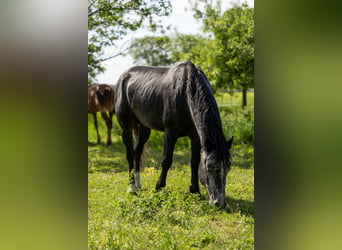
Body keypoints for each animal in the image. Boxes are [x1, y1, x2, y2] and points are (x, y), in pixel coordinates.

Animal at [115, 61, 232, 207]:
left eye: (228, 168)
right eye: (210, 167)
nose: (219, 203)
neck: (186, 92)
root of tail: (124, 76)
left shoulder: (195, 137)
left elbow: (194, 162)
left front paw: (195, 191)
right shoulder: (170, 133)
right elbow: (167, 160)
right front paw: (159, 187)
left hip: (144, 127)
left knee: (137, 152)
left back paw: (138, 184)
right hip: (126, 127)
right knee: (130, 154)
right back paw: (131, 188)